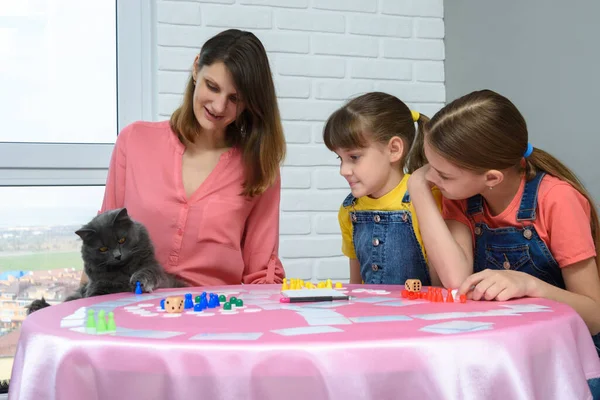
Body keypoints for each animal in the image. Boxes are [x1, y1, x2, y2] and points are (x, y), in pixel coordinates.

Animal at [27, 208, 186, 314]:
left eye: (121, 240)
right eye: (103, 249)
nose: (117, 256)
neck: (123, 274)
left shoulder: (152, 267)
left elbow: (147, 272)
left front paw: (139, 281)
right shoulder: (96, 288)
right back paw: (36, 307)